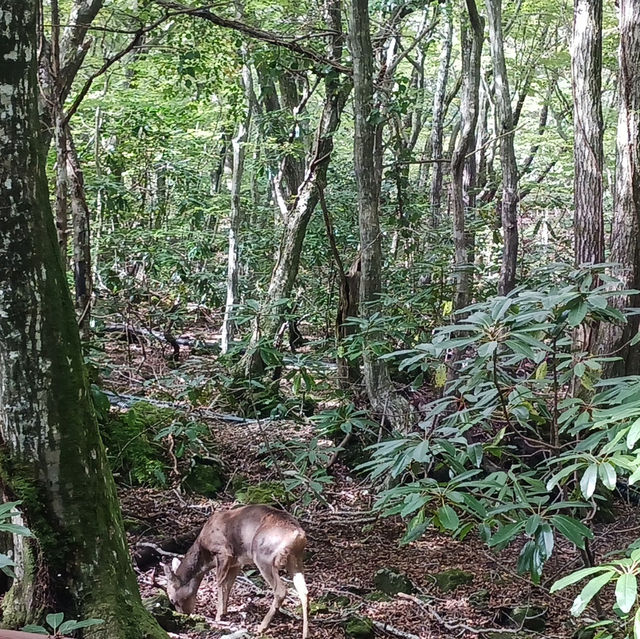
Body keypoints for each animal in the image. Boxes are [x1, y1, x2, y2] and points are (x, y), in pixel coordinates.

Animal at [162, 504, 308, 639]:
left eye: (173, 600)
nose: (183, 614)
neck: (205, 556)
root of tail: (298, 535)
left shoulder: (224, 551)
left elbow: (220, 583)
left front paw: (218, 616)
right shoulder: (236, 563)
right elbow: (228, 585)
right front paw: (224, 612)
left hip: (263, 556)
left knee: (281, 590)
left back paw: (262, 627)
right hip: (295, 559)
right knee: (304, 591)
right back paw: (305, 633)